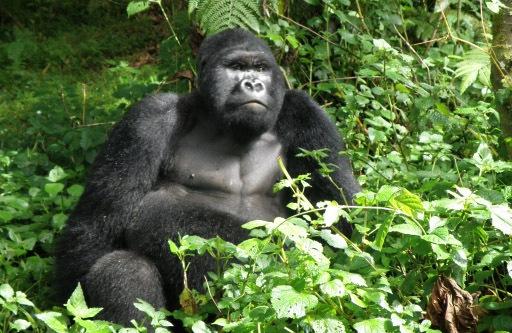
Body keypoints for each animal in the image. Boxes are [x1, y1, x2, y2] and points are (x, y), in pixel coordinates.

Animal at [55, 27, 360, 324]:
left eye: (261, 68)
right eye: (236, 67)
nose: (254, 84)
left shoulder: (307, 113)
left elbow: (342, 228)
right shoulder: (150, 117)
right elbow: (99, 225)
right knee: (122, 267)